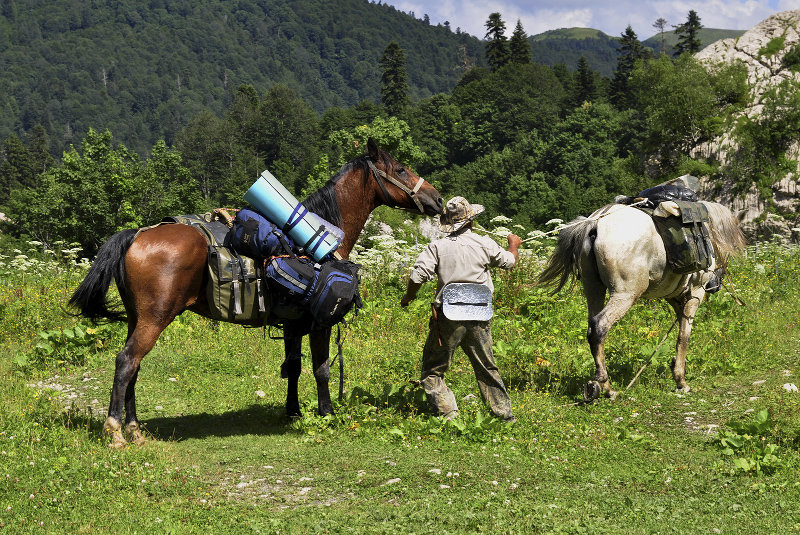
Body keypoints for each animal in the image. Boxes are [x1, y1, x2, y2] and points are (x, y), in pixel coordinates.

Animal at [69, 139, 444, 448]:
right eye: (400, 169)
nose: (437, 198)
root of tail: (137, 235)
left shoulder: (293, 324)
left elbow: (294, 366)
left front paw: (293, 412)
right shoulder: (320, 324)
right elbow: (321, 369)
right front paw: (326, 413)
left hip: (139, 319)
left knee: (133, 366)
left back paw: (134, 430)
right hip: (154, 319)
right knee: (126, 362)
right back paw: (116, 432)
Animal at [536, 202, 744, 402]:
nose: (715, 285)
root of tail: (596, 223)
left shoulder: (675, 298)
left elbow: (679, 332)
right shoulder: (695, 293)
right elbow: (684, 336)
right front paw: (681, 381)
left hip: (593, 288)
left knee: (591, 328)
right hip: (624, 295)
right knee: (599, 327)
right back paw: (606, 387)